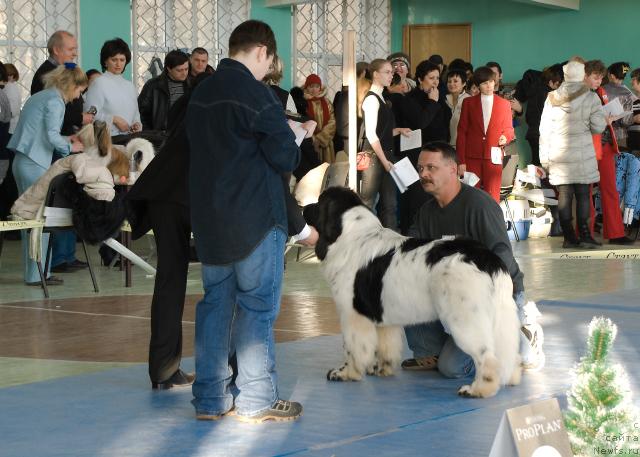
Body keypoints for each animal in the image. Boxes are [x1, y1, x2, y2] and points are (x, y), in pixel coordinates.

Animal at [306, 187, 524, 398]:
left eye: (319, 202)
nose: (304, 208)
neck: (352, 235)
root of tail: (488, 258)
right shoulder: (382, 317)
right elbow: (385, 345)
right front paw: (380, 369)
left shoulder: (353, 314)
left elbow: (352, 348)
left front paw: (345, 373)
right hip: (499, 317)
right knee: (509, 352)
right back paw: (512, 378)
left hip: (465, 320)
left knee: (487, 357)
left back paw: (477, 390)